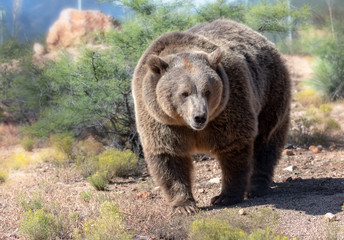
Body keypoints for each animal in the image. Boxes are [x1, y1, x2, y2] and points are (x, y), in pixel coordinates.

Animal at [132, 19, 290, 214]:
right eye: (184, 93)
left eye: (207, 91)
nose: (199, 116)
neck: (186, 125)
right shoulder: (160, 119)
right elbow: (169, 157)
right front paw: (184, 205)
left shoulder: (229, 105)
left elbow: (234, 147)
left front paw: (224, 196)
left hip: (270, 91)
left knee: (266, 141)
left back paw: (256, 187)